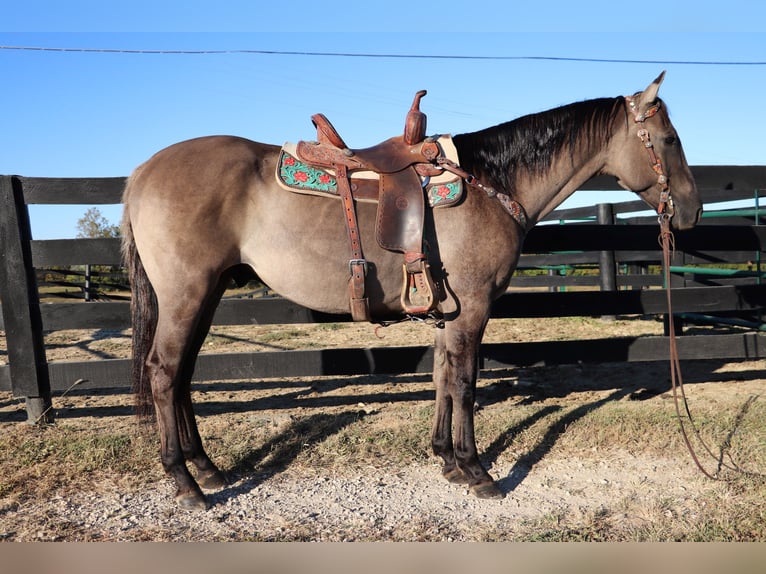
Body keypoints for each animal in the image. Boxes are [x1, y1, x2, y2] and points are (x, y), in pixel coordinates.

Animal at [123, 73, 704, 512]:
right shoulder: (473, 309)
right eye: (670, 140)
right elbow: (465, 383)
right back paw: (186, 483)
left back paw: (207, 469)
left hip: (205, 295)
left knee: (182, 375)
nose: (693, 212)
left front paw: (446, 459)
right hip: (187, 294)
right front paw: (477, 470)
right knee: (164, 372)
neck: (493, 182)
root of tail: (142, 171)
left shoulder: (451, 311)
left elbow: (443, 376)